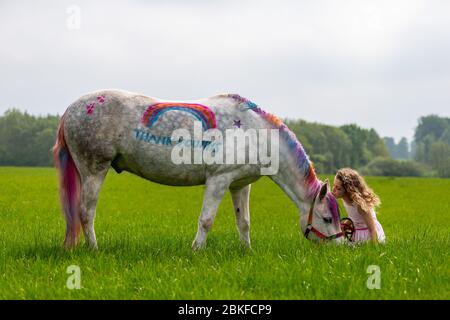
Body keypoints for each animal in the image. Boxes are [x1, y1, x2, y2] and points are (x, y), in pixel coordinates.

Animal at [51, 90, 342, 250]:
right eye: (327, 218)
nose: (340, 247)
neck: (253, 132)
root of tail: (70, 110)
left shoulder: (240, 184)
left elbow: (244, 222)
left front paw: (246, 251)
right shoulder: (218, 180)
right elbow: (207, 220)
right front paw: (196, 250)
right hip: (94, 169)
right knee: (86, 212)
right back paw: (94, 249)